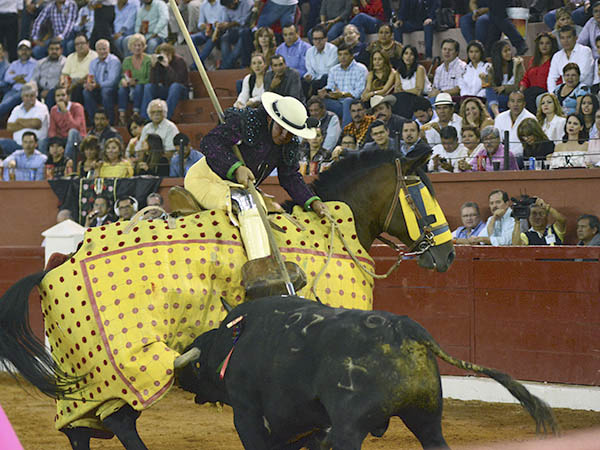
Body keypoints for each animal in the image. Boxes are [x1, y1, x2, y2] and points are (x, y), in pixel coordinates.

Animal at [0, 149, 455, 449]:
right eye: (423, 196)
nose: (448, 254)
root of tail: (61, 260)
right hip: (126, 362)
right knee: (119, 420)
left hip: (85, 376)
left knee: (80, 426)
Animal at [177, 296, 558, 450]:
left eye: (195, 365)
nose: (178, 374)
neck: (233, 340)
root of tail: (405, 328)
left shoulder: (248, 414)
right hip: (427, 418)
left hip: (351, 428)